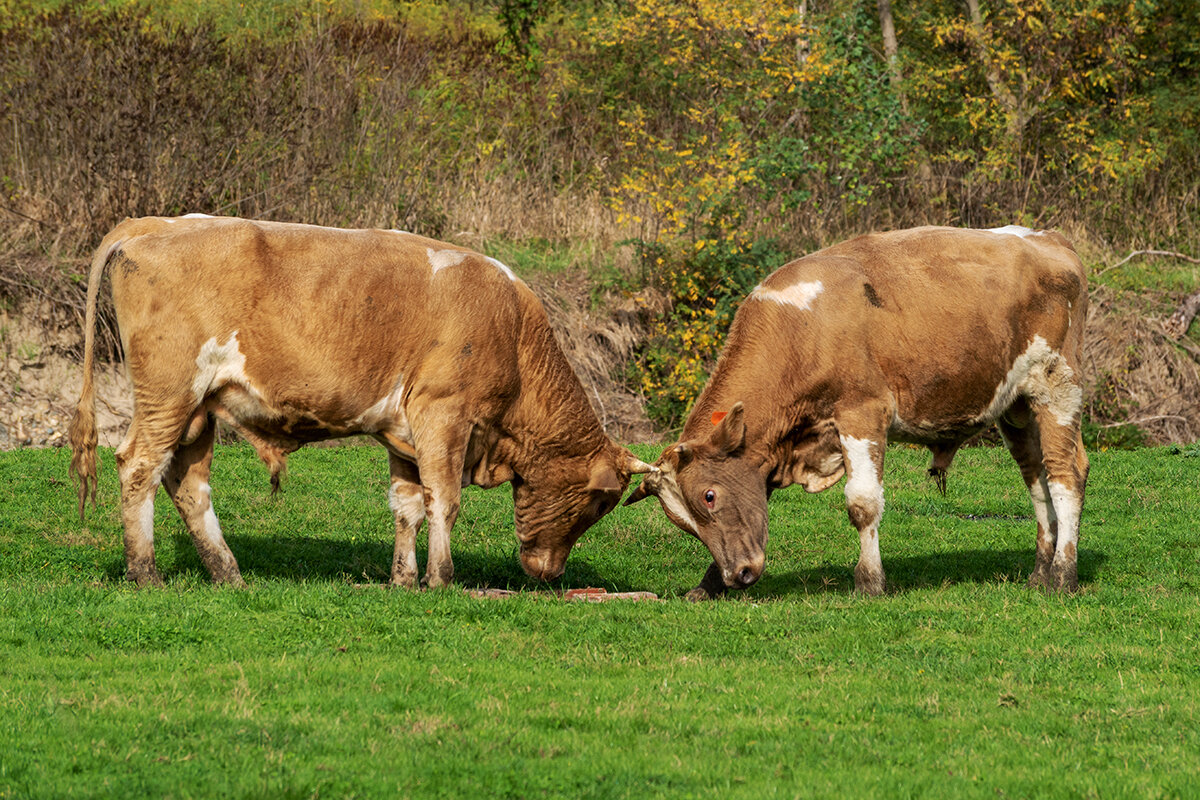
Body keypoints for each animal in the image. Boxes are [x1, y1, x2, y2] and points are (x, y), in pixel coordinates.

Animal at [69, 215, 652, 592]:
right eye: (600, 503)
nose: (550, 574)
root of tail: (151, 223)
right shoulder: (444, 414)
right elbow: (445, 500)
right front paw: (442, 581)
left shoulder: (406, 433)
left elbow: (408, 506)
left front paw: (404, 580)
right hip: (169, 391)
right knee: (138, 466)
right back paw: (145, 573)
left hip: (198, 410)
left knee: (187, 483)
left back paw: (229, 575)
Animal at [628, 225, 1089, 599]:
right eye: (683, 522)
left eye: (709, 495)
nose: (737, 574)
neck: (801, 330)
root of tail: (1050, 239)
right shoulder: (768, 450)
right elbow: (757, 506)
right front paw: (707, 585)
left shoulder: (862, 413)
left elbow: (862, 504)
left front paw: (869, 582)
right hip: (1016, 407)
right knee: (1037, 481)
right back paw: (1039, 573)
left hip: (1057, 386)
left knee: (1065, 476)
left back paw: (1063, 576)